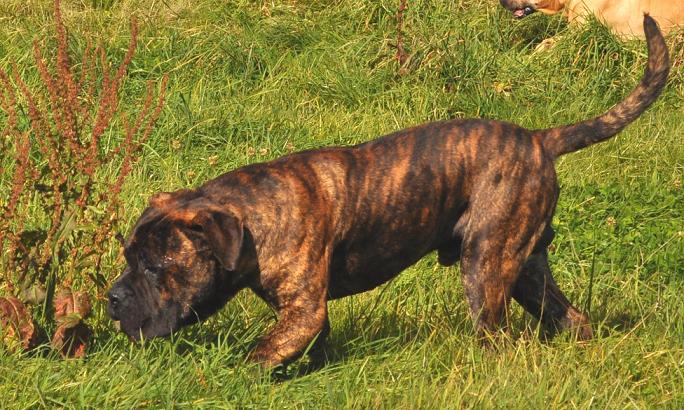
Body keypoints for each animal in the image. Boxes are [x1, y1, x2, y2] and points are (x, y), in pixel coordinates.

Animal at [107, 16, 669, 368]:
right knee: (570, 317)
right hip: (526, 266)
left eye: (155, 267)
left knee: (496, 333)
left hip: (485, 265)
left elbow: (256, 358)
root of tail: (538, 139)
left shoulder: (302, 312)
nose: (112, 297)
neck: (252, 222)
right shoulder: (308, 318)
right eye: (127, 258)